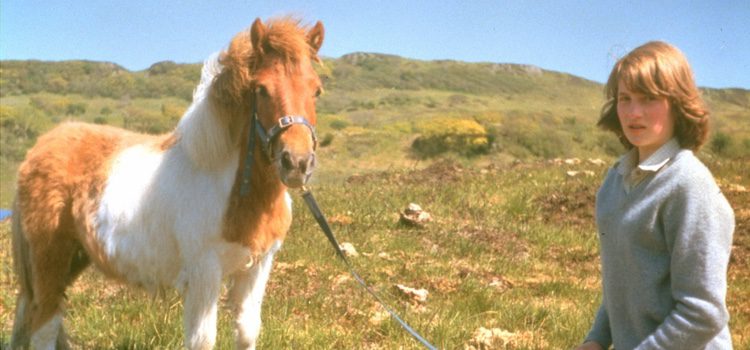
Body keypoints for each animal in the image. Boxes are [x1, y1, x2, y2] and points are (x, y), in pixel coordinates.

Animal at [9, 17, 326, 350]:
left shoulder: (257, 267)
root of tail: (39, 147)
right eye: (261, 89)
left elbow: (247, 332)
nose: (297, 162)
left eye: (316, 90)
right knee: (44, 326)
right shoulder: (204, 273)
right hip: (50, 262)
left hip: (73, 258)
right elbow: (203, 340)